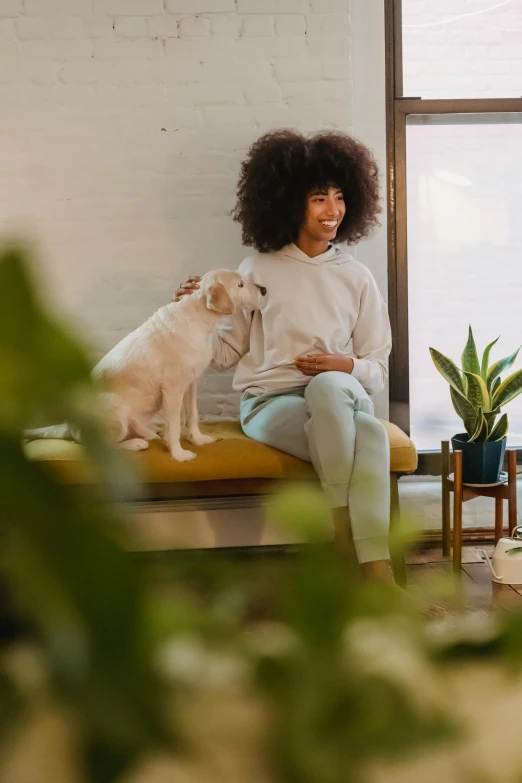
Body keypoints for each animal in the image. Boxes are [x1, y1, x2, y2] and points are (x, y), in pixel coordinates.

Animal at [25, 272, 264, 462]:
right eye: (240, 284)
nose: (263, 290)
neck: (200, 319)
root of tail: (69, 425)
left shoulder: (191, 383)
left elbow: (193, 415)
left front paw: (198, 439)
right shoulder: (173, 390)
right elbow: (175, 425)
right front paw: (179, 454)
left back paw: (149, 432)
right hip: (113, 406)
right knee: (103, 448)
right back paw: (136, 443)